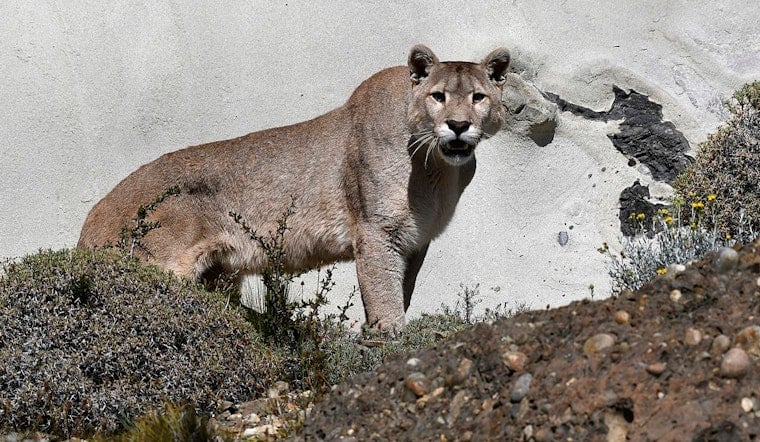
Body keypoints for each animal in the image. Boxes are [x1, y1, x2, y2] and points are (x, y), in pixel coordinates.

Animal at [78, 44, 511, 328]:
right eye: (438, 96)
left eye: (479, 97)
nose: (459, 125)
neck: (437, 169)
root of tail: (91, 220)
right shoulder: (375, 232)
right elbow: (384, 293)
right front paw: (391, 338)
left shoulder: (416, 240)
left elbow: (401, 287)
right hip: (163, 266)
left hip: (219, 276)